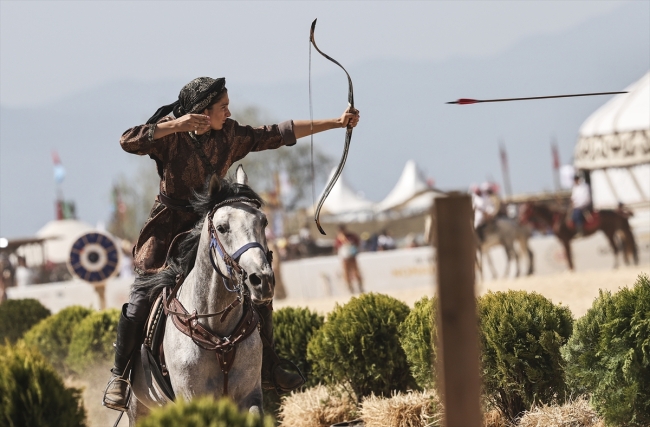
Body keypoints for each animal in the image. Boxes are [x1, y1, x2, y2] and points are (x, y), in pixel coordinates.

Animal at [124, 166, 270, 424]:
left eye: (263, 222)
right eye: (222, 227)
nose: (261, 280)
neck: (218, 333)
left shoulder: (250, 396)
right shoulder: (192, 398)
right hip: (138, 411)